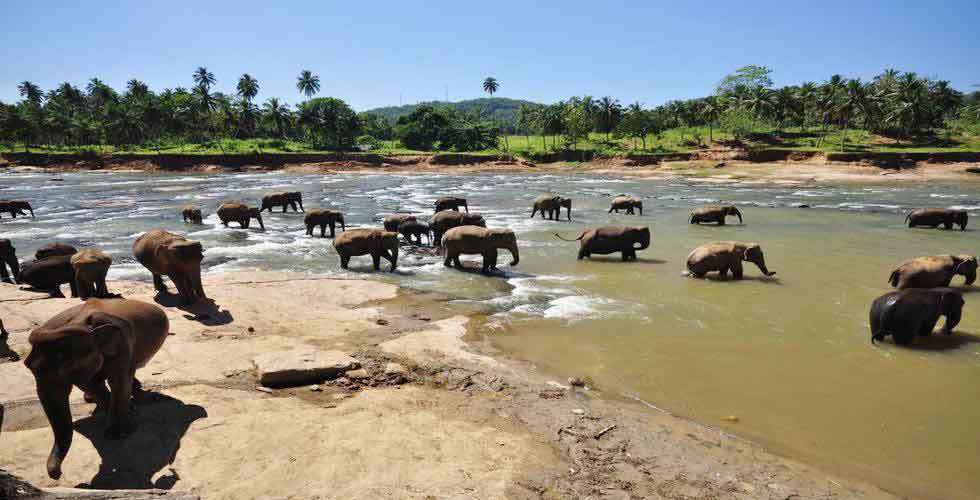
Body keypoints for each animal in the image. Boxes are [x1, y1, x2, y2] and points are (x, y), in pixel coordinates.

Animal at [24, 298, 169, 479]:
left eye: (69, 367)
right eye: (27, 365)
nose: (56, 474)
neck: (81, 324)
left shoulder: (122, 343)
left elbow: (118, 381)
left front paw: (118, 433)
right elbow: (91, 384)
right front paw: (112, 421)